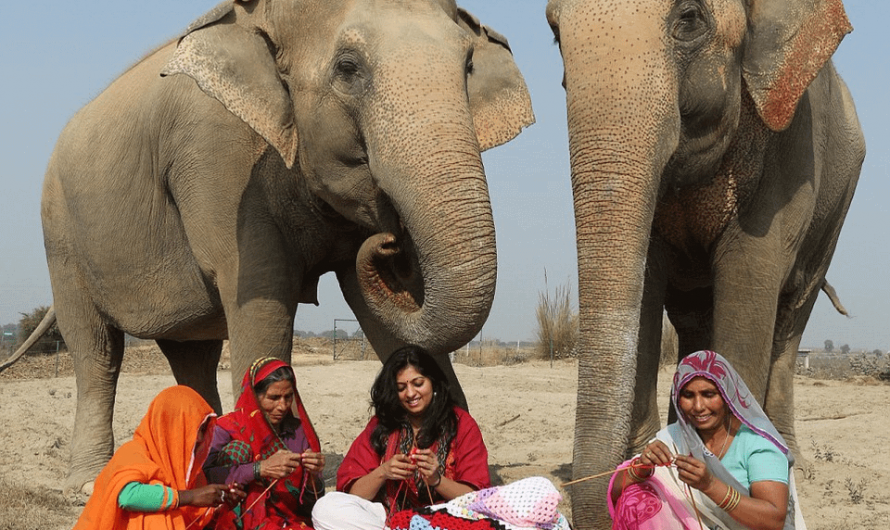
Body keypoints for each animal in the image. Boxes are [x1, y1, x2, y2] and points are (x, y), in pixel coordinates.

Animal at [34, 0, 533, 494]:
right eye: (348, 68)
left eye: (468, 66)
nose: (392, 239)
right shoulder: (221, 161)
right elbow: (264, 297)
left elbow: (385, 316)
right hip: (61, 236)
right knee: (96, 351)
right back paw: (89, 482)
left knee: (193, 355)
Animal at [545, 0, 864, 526]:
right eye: (554, 34)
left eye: (690, 18)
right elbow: (648, 279)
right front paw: (646, 455)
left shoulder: (792, 147)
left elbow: (750, 274)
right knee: (695, 320)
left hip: (836, 211)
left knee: (792, 314)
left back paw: (792, 456)